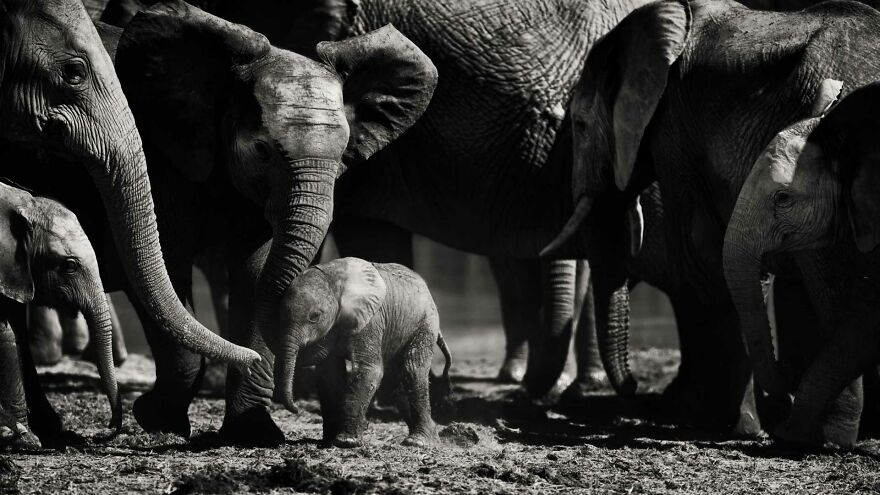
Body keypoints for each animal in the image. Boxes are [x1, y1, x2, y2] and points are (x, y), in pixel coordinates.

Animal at [0, 180, 121, 448]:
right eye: (69, 266)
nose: (107, 429)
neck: (23, 203)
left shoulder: (14, 270)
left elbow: (15, 333)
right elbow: (5, 336)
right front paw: (26, 440)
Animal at [276, 257, 452, 448]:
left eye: (314, 316)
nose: (296, 408)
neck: (334, 280)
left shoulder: (371, 320)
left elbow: (368, 369)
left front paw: (346, 442)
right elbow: (330, 375)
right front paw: (329, 441)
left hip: (424, 323)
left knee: (412, 370)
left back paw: (418, 441)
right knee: (395, 382)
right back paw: (432, 437)